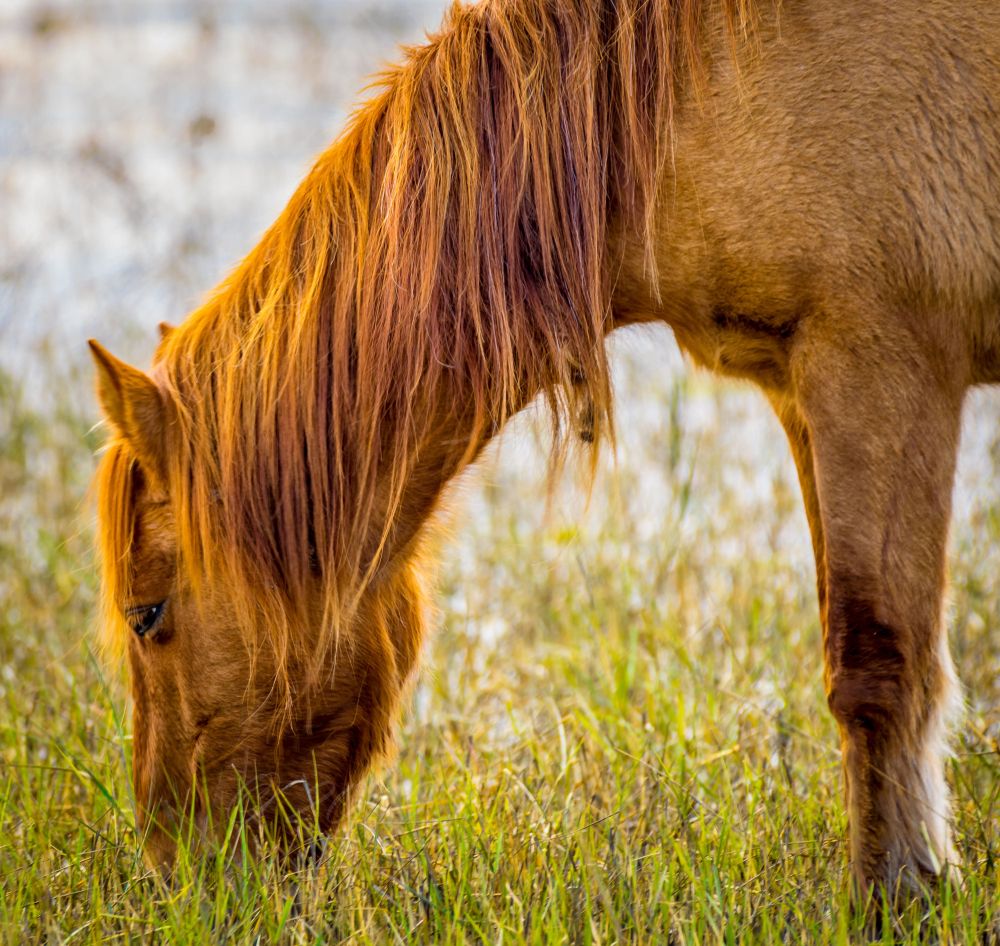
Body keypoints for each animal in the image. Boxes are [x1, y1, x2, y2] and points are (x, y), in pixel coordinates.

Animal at [88, 0, 1000, 899]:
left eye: (147, 615)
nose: (176, 876)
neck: (694, 92)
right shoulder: (800, 389)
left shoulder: (878, 364)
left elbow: (877, 662)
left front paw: (899, 896)